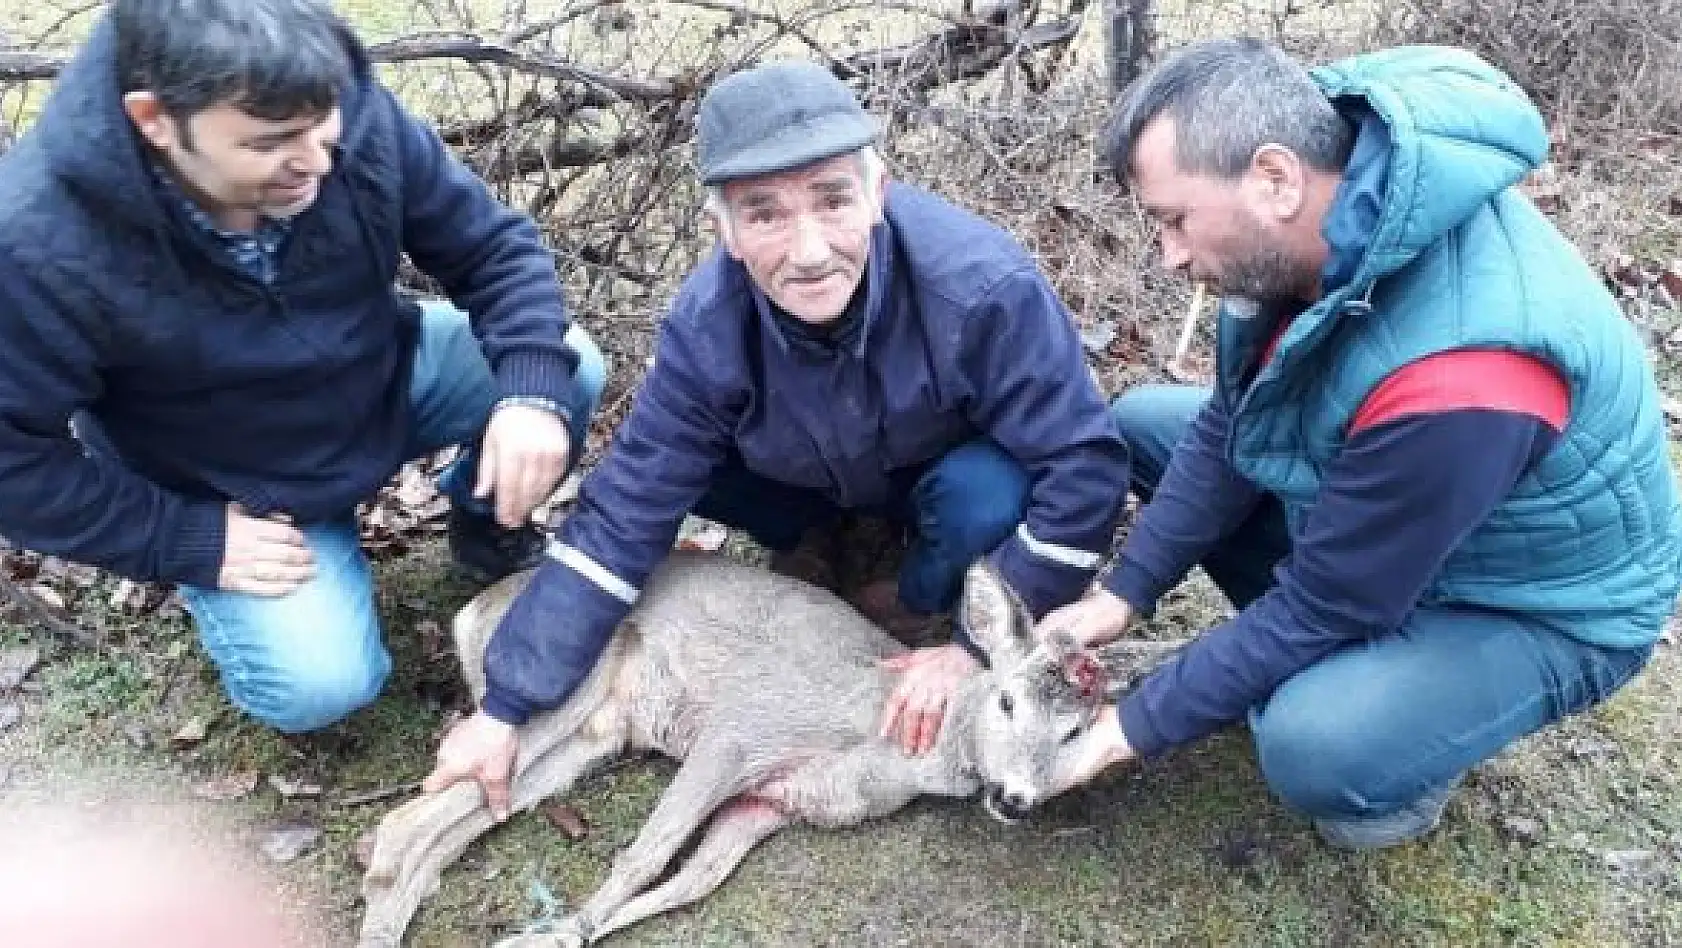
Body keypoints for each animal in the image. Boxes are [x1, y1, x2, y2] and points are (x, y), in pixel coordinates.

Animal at [354, 551, 1184, 941]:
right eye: (1007, 700)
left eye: (1075, 731)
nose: (1014, 798)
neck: (884, 739)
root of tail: (470, 612)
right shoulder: (742, 729)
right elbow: (649, 853)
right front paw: (560, 932)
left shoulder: (778, 803)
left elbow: (695, 880)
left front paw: (561, 935)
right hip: (571, 687)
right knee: (404, 822)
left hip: (597, 734)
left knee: (459, 813)